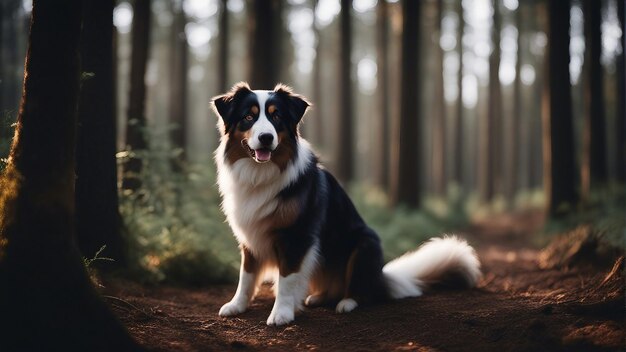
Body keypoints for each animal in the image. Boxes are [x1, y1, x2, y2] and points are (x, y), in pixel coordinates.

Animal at [212, 82, 480, 324]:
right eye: (248, 117)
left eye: (276, 117)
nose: (266, 138)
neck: (260, 174)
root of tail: (382, 277)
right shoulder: (250, 236)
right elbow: (246, 276)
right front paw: (237, 305)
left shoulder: (298, 236)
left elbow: (287, 279)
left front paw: (281, 314)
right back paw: (318, 298)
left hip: (365, 243)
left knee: (361, 291)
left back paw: (347, 303)